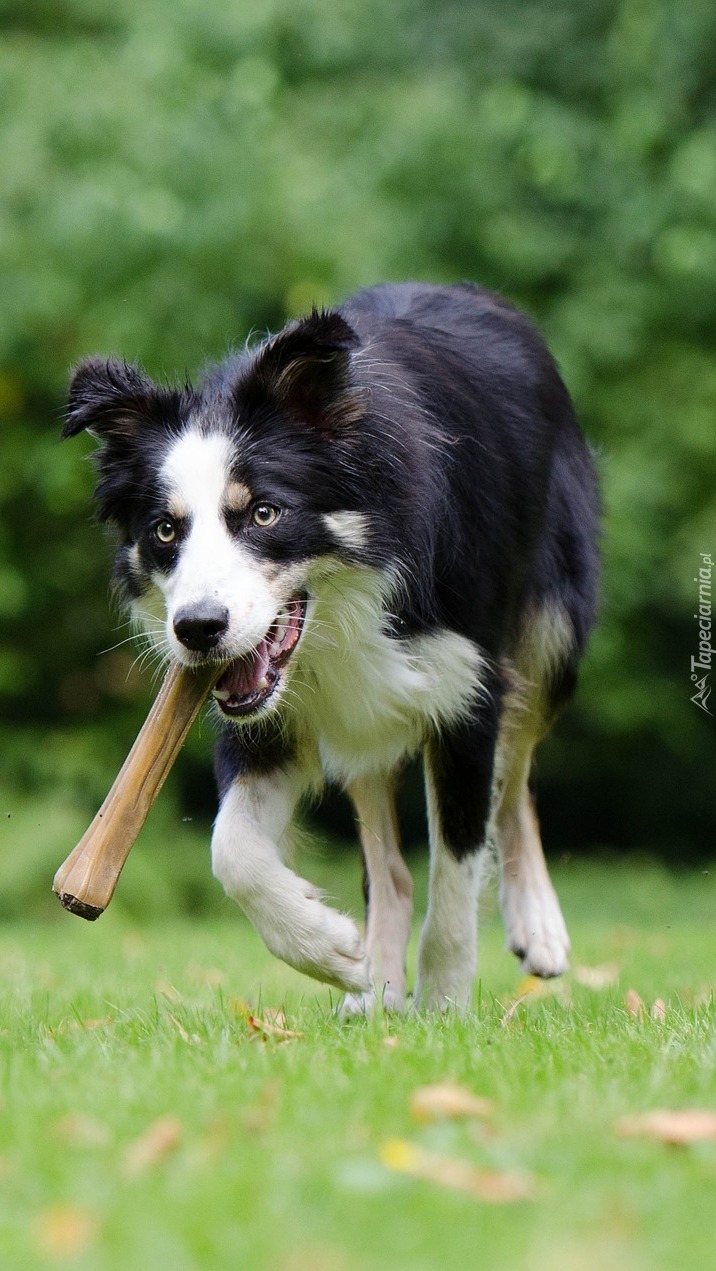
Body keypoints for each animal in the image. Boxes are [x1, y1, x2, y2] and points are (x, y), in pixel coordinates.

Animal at [62, 285, 600, 1011]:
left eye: (264, 513)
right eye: (166, 530)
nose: (198, 629)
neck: (349, 606)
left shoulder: (468, 688)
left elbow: (457, 869)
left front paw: (446, 1006)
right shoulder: (265, 717)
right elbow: (231, 849)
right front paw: (330, 950)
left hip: (550, 630)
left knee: (515, 776)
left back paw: (536, 926)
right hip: (361, 719)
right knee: (390, 859)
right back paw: (376, 985)